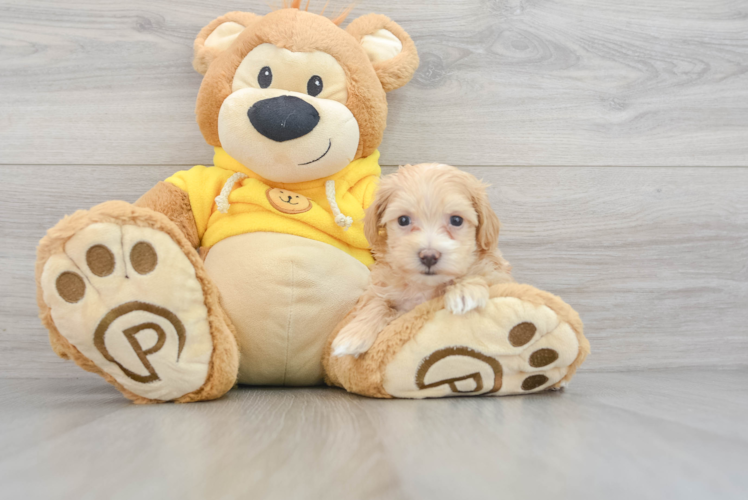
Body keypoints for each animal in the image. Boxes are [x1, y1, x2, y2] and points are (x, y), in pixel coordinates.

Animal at [334, 163, 516, 356]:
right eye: (403, 220)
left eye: (456, 220)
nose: (429, 256)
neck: (424, 285)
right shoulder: (382, 285)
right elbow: (376, 302)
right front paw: (353, 336)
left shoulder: (498, 275)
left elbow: (480, 273)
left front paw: (465, 290)